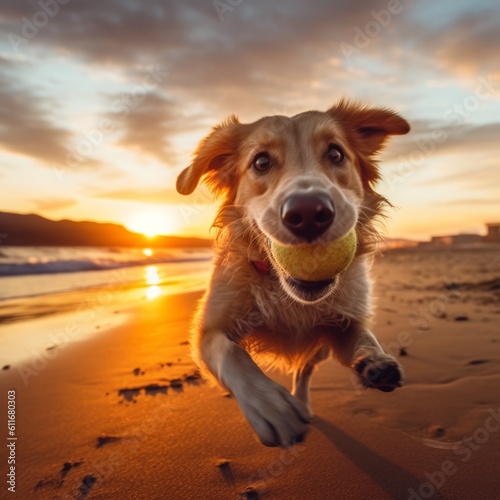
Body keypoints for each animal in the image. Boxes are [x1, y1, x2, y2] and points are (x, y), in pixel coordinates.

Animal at [176, 99, 410, 448]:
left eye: (336, 154)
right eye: (261, 161)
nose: (309, 212)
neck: (288, 295)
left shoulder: (343, 323)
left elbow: (363, 336)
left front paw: (375, 360)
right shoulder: (208, 329)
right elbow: (229, 352)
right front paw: (270, 405)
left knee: (305, 369)